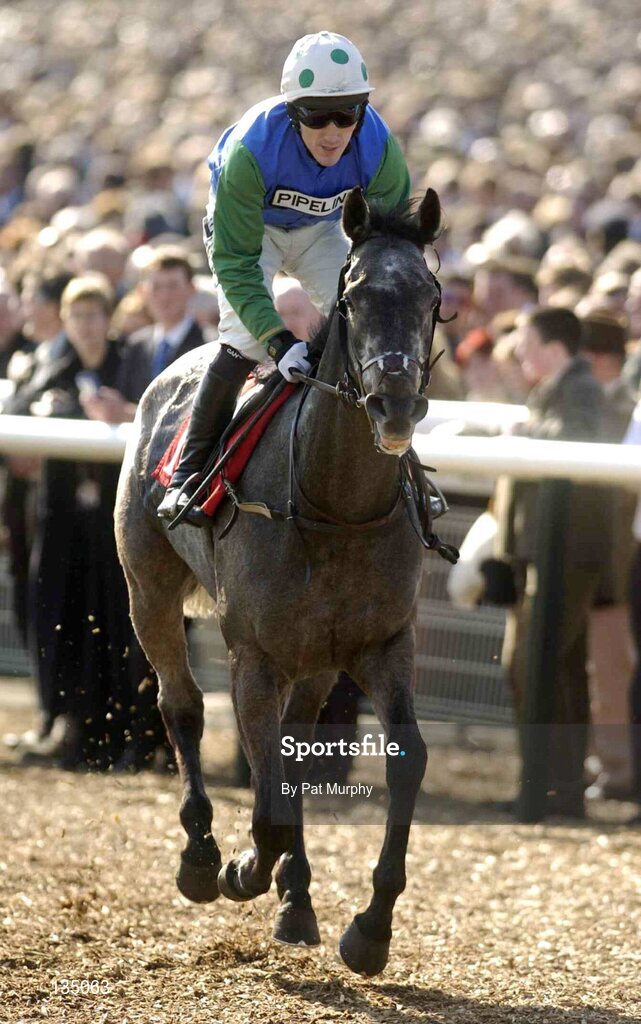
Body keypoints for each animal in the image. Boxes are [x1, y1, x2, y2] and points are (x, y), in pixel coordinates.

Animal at [114, 186, 444, 977]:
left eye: (430, 296)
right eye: (353, 297)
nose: (395, 404)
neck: (335, 506)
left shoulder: (381, 644)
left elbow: (405, 760)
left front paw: (370, 928)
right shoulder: (254, 657)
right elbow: (262, 803)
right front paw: (240, 869)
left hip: (318, 658)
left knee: (291, 743)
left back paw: (296, 899)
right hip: (149, 590)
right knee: (180, 705)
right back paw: (202, 858)